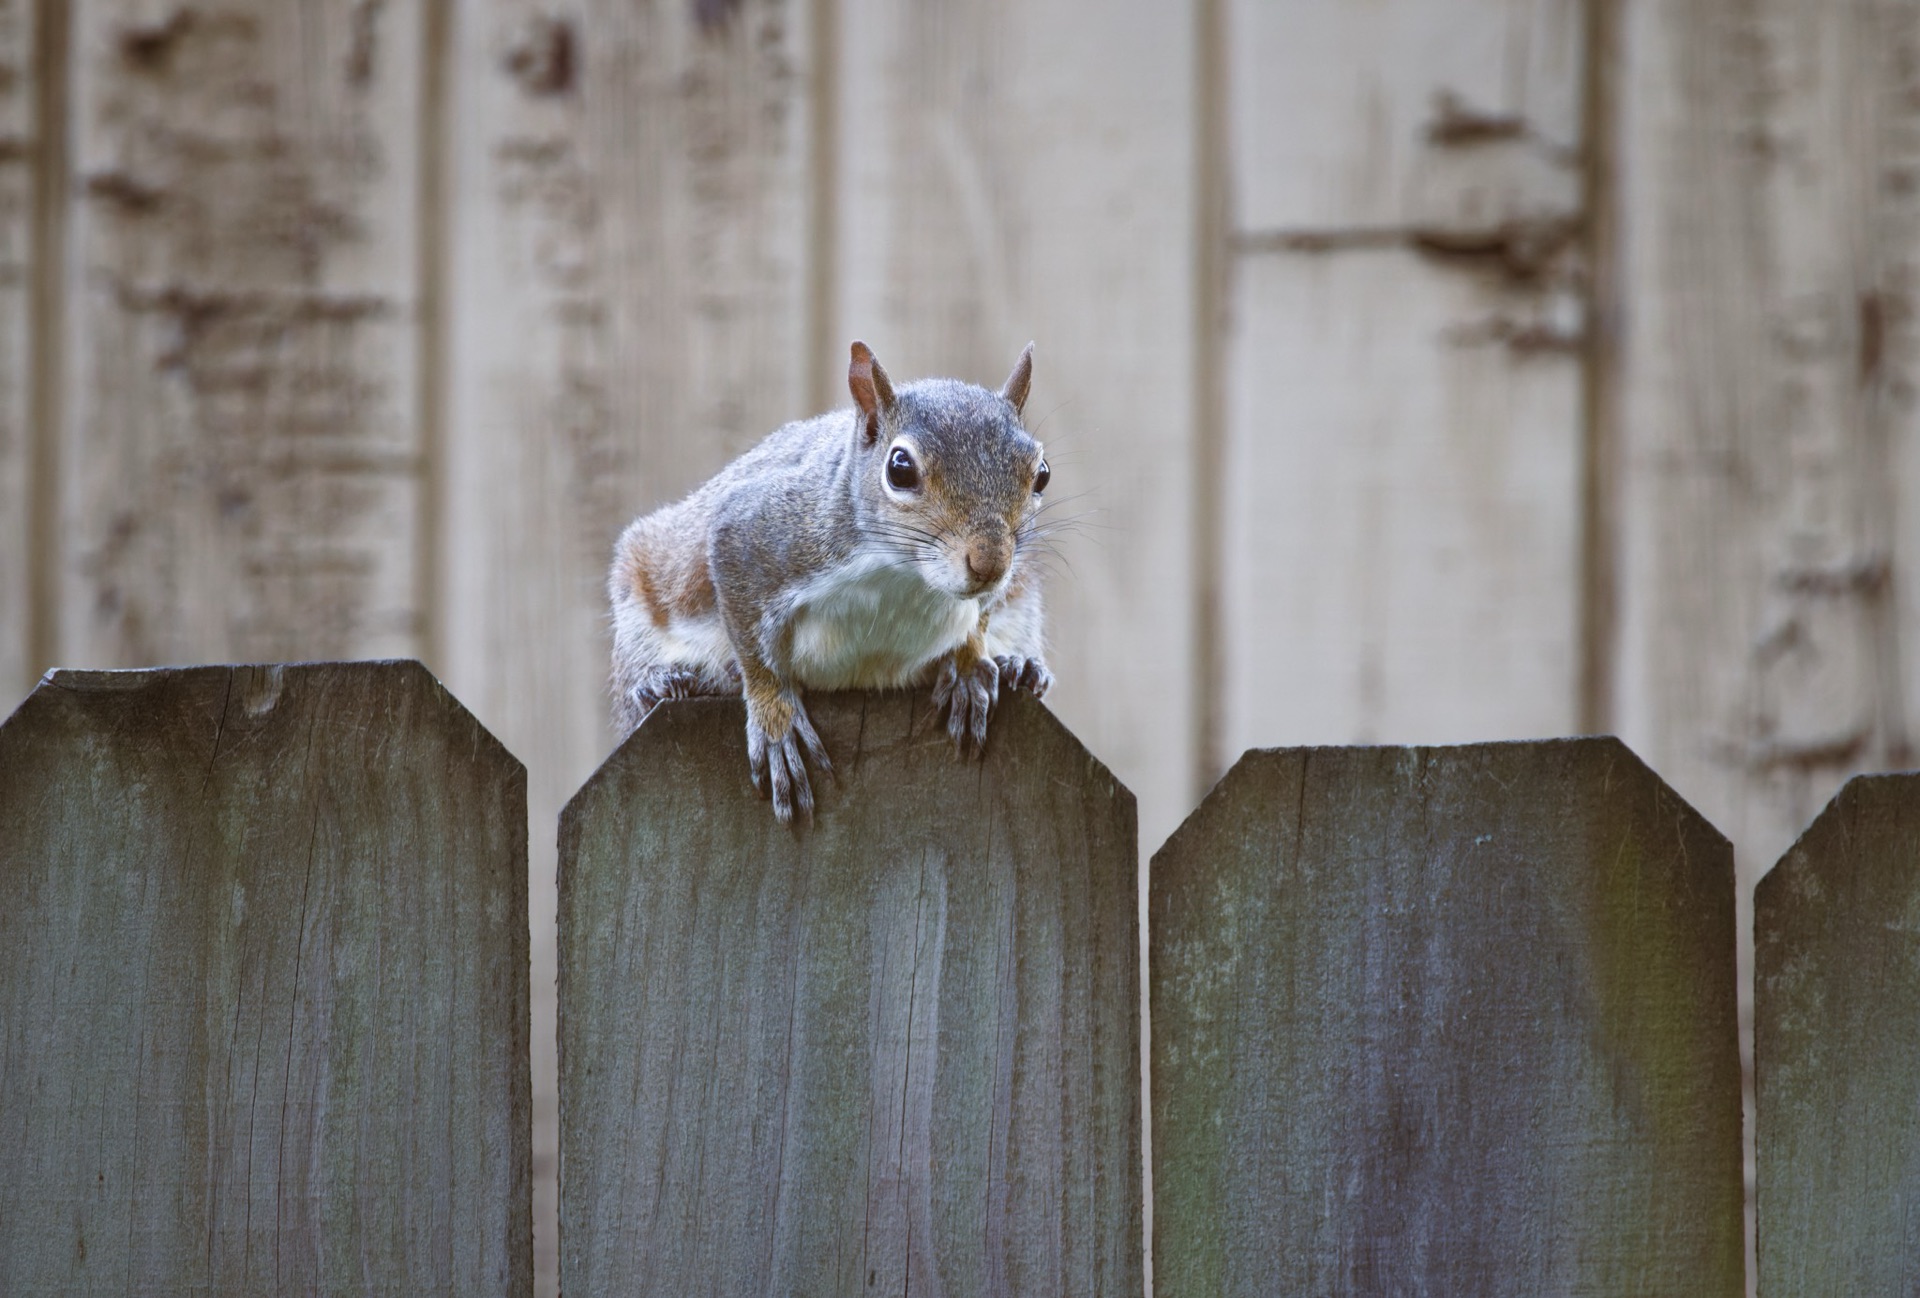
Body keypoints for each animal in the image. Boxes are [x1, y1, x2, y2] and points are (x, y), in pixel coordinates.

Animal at [608, 340, 1054, 825]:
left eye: (1042, 473)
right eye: (900, 468)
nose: (989, 562)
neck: (907, 577)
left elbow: (979, 619)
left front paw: (971, 667)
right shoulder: (755, 534)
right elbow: (755, 651)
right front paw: (775, 720)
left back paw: (1019, 665)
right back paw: (665, 681)